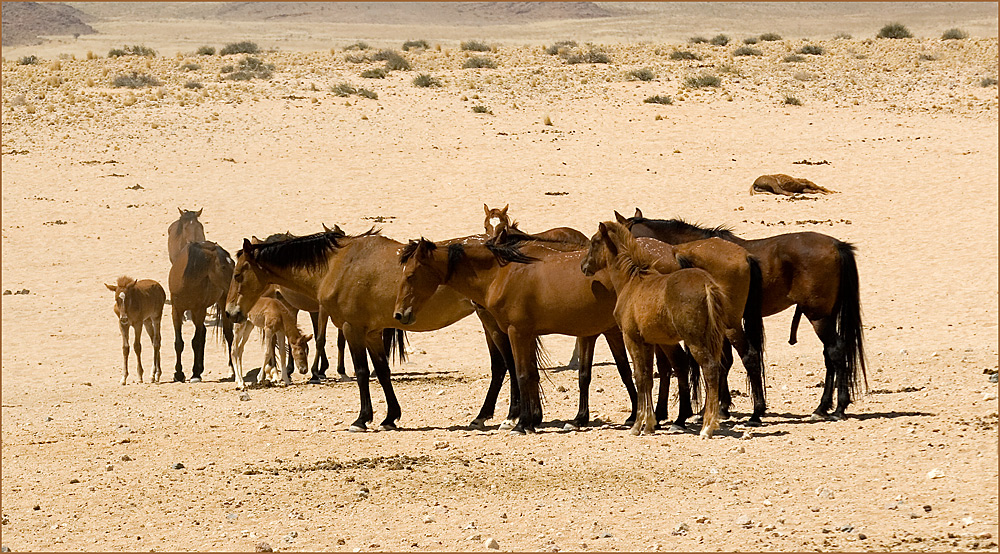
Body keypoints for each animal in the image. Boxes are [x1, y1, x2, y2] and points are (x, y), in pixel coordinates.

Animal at [171, 239, 237, 382]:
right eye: (223, 267)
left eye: (234, 263)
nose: (235, 284)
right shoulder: (177, 311)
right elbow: (179, 343)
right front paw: (178, 373)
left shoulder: (199, 310)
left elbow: (196, 341)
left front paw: (195, 374)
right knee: (204, 333)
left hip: (221, 302)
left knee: (228, 335)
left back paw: (232, 369)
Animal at [392, 231, 636, 434]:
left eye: (411, 275)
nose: (400, 314)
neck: (501, 274)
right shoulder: (526, 334)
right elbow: (532, 374)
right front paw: (532, 420)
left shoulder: (516, 332)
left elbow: (522, 375)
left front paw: (521, 424)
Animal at [580, 220, 728, 436]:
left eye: (594, 241)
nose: (583, 266)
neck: (631, 282)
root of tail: (707, 285)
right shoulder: (648, 342)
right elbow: (649, 378)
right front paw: (649, 424)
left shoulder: (631, 338)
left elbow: (640, 377)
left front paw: (636, 425)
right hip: (711, 339)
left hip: (695, 340)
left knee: (710, 369)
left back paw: (707, 427)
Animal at [616, 208, 868, 418]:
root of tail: (836, 245)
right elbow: (724, 361)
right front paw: (722, 406)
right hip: (825, 316)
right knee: (830, 355)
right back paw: (823, 407)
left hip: (817, 316)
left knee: (835, 351)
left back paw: (838, 407)